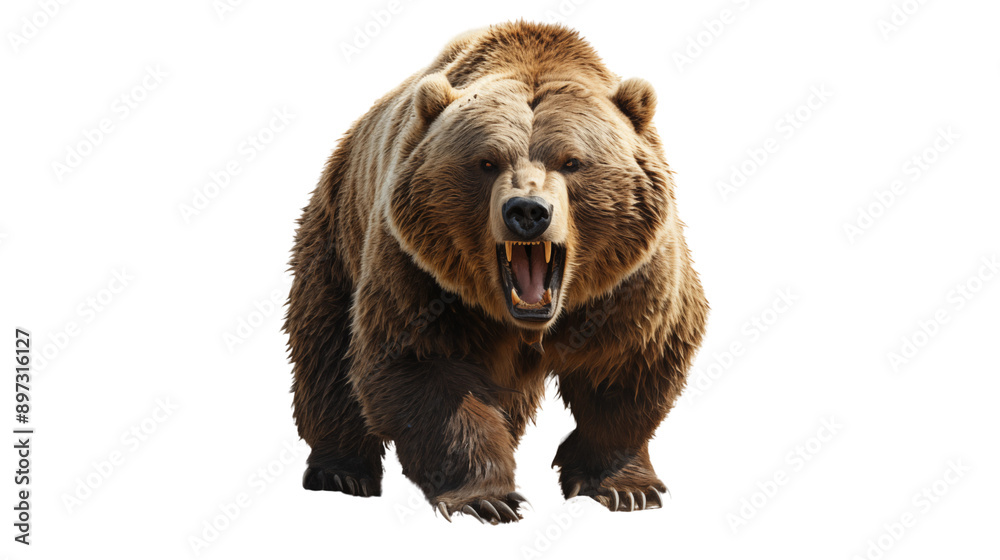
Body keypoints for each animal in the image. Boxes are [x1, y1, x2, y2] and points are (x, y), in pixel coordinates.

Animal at [284, 21, 708, 524]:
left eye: (572, 161)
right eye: (487, 162)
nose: (527, 211)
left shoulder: (630, 281)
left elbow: (632, 362)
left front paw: (627, 488)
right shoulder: (422, 273)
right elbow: (424, 367)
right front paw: (488, 497)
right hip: (337, 231)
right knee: (326, 349)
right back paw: (340, 471)